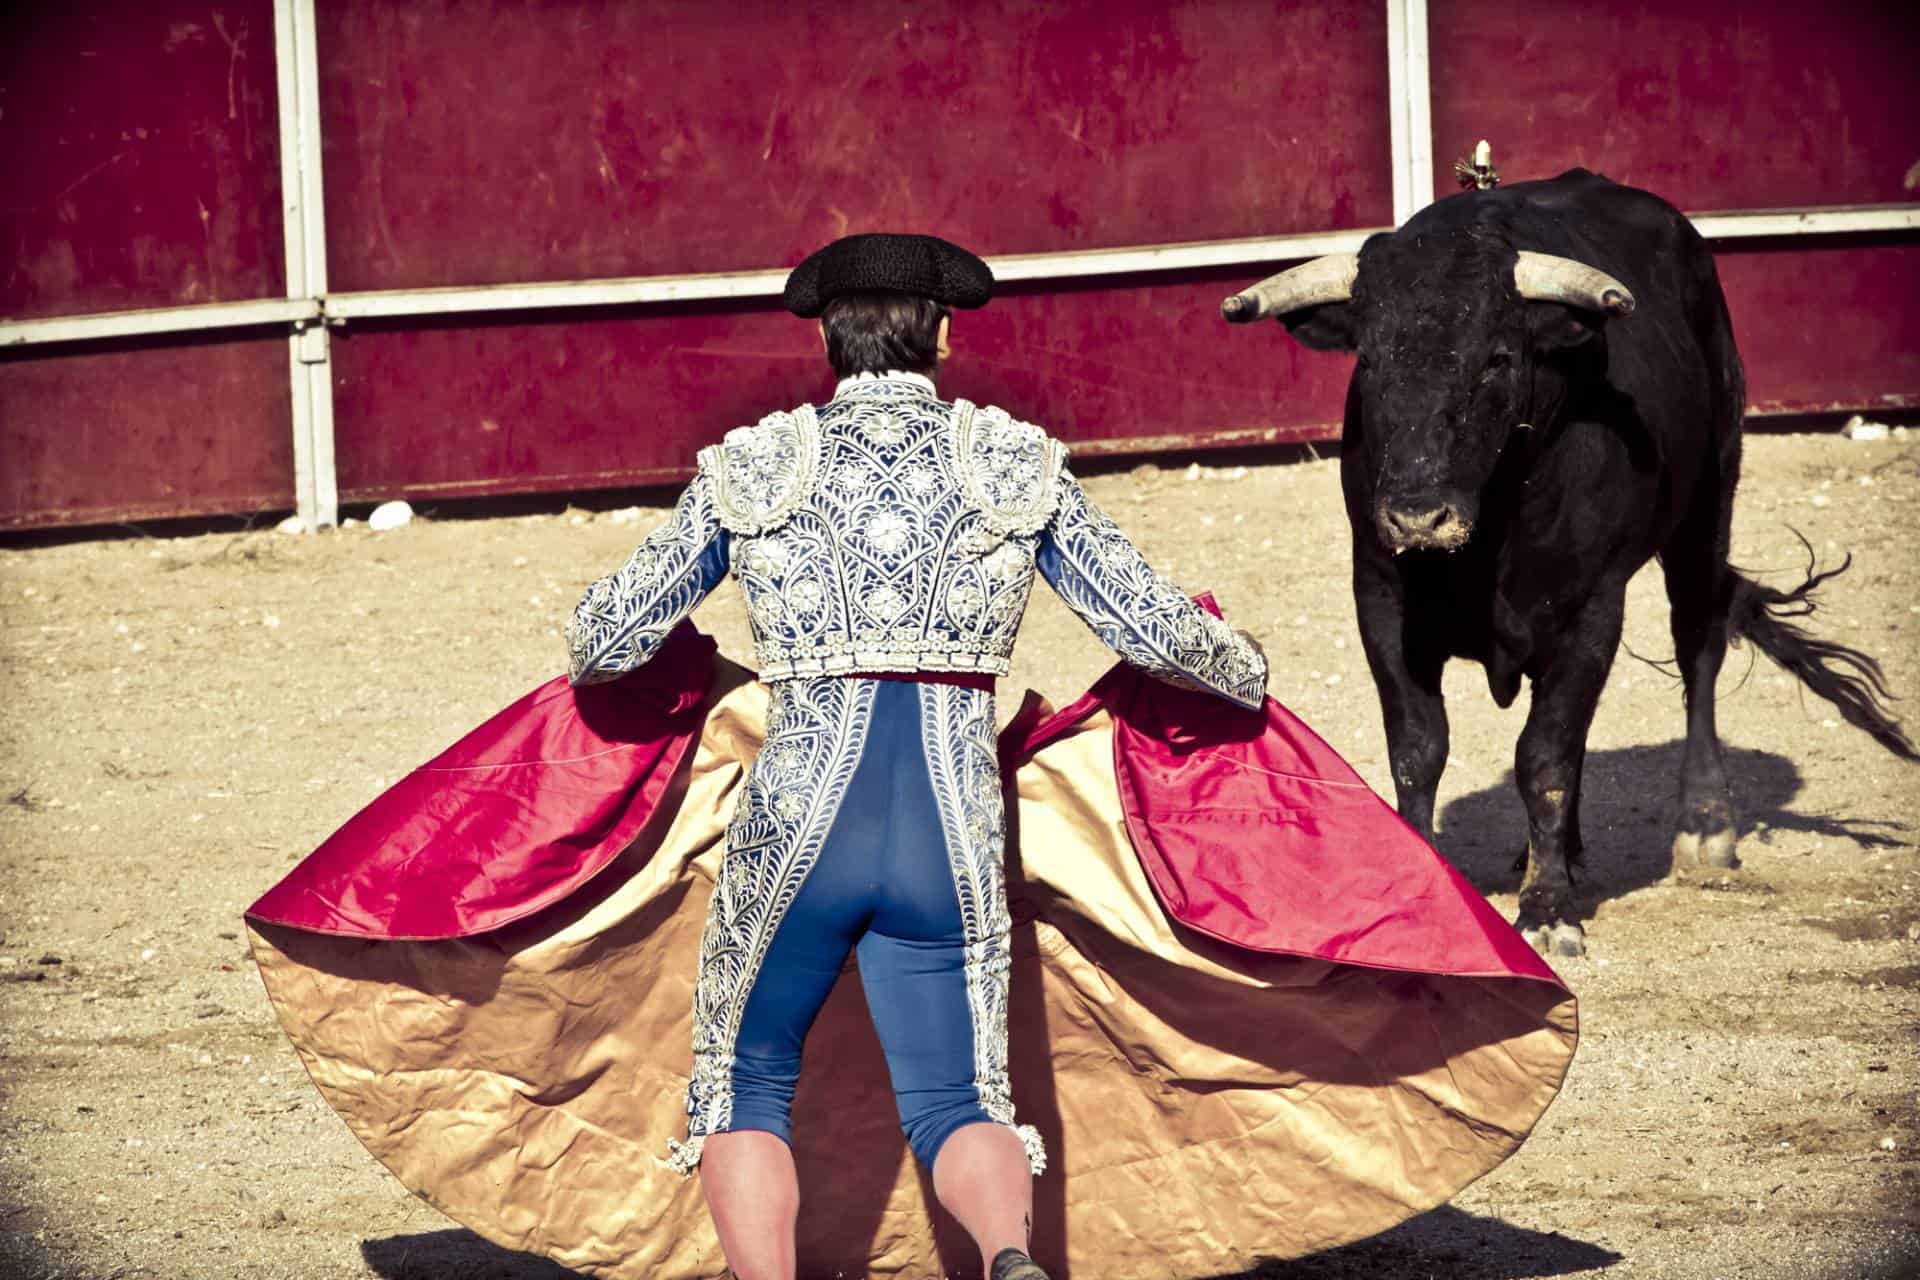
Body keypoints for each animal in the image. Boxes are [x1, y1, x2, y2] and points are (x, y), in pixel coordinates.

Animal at [1221, 165, 1912, 955]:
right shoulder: (1382, 600)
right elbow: (1420, 749)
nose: (1418, 515)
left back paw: (1704, 826)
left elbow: (1544, 756)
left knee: (1698, 650)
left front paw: (1548, 907)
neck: (1488, 535)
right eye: (1368, 360)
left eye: (1497, 358)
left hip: (1710, 504)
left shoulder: (1591, 612)